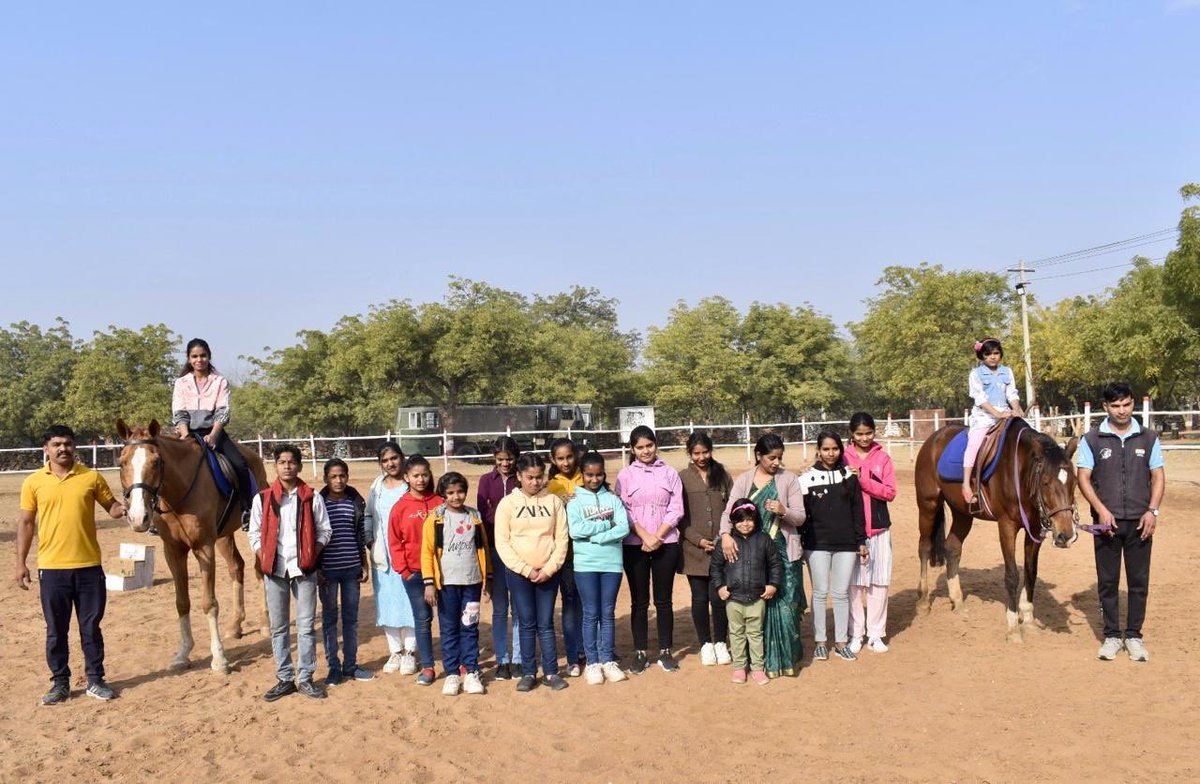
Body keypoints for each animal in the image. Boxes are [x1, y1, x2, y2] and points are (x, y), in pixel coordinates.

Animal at [115, 417, 268, 667]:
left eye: (156, 462)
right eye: (121, 463)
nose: (138, 518)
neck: (179, 494)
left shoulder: (203, 547)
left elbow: (209, 603)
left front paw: (219, 658)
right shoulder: (173, 551)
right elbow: (182, 602)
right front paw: (183, 653)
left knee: (259, 568)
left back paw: (266, 624)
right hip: (223, 536)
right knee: (236, 567)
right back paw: (236, 625)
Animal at [916, 417, 1080, 638]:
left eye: (1075, 482)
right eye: (1045, 482)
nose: (1066, 535)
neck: (1019, 470)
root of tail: (933, 439)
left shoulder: (1035, 530)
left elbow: (1031, 572)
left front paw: (1028, 621)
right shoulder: (1007, 526)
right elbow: (1012, 575)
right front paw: (1013, 628)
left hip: (962, 514)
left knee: (952, 547)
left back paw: (957, 602)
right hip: (928, 505)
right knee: (924, 547)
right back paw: (923, 602)